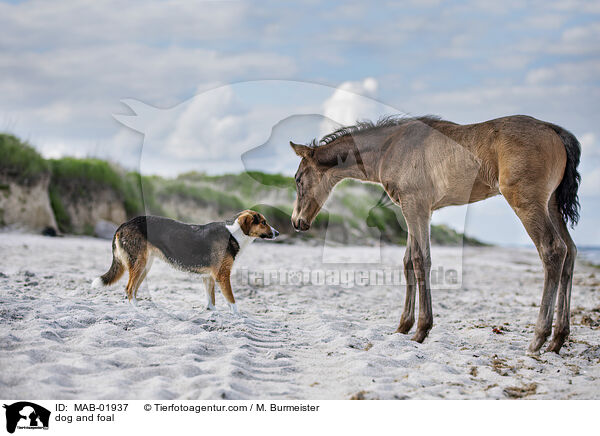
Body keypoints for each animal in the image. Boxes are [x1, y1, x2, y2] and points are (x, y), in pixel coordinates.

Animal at [92, 209, 280, 312]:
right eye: (264, 222)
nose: (277, 233)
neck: (233, 233)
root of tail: (124, 224)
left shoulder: (209, 277)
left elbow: (211, 299)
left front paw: (212, 312)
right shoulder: (223, 275)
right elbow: (232, 302)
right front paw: (238, 317)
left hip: (145, 266)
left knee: (133, 289)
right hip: (139, 263)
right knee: (129, 288)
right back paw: (136, 309)